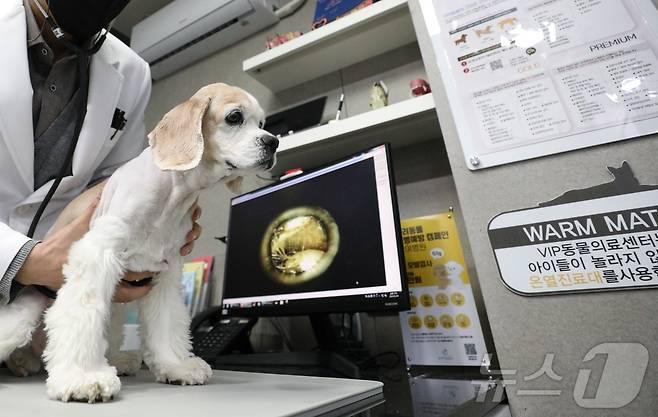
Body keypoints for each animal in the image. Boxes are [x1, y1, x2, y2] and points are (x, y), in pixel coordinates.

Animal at [0, 83, 274, 400]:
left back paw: (118, 360)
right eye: (234, 117)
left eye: (262, 123)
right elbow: (83, 316)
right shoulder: (98, 255)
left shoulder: (165, 271)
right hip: (27, 314)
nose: (273, 142)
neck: (173, 197)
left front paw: (177, 366)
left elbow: (167, 323)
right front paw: (83, 377)